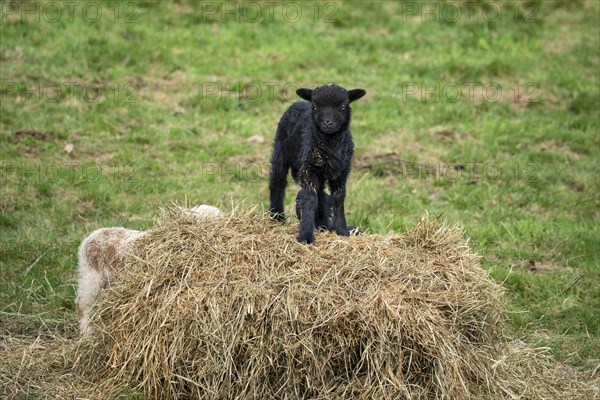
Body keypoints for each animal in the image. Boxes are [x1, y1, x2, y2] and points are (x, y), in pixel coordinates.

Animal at [268, 84, 366, 244]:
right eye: (315, 106)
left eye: (343, 106)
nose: (327, 123)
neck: (329, 143)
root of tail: (300, 102)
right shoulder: (309, 169)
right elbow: (310, 199)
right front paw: (306, 236)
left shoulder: (341, 171)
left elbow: (338, 199)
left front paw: (341, 231)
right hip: (280, 150)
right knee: (277, 182)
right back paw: (277, 217)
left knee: (320, 193)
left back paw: (323, 224)